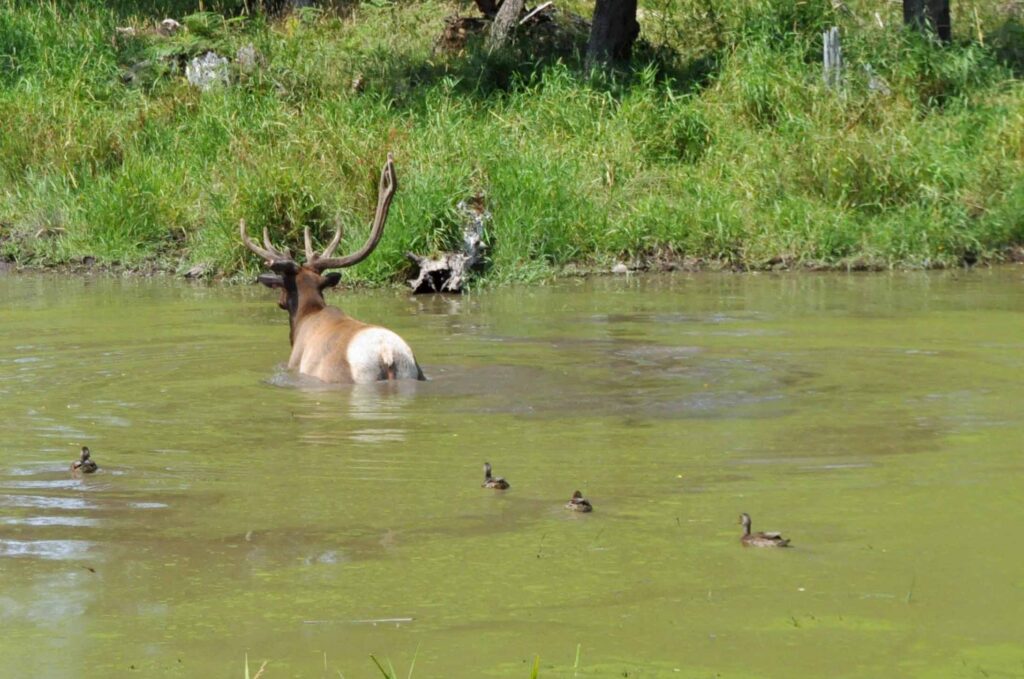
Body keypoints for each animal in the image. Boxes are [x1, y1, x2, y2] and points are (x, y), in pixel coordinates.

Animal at [241, 154, 425, 384]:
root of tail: (387, 355)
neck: (307, 314)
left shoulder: (294, 364)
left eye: (281, 298)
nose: (281, 301)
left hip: (338, 373)